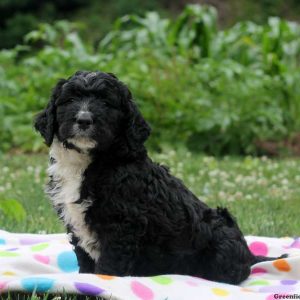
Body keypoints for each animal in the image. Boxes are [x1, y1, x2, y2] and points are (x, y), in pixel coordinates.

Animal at [35, 70, 284, 284]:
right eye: (70, 100)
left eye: (106, 103)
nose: (84, 119)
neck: (88, 161)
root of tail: (250, 255)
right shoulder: (76, 222)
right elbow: (84, 258)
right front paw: (84, 279)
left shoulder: (122, 225)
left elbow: (110, 265)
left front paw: (100, 282)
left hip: (222, 240)